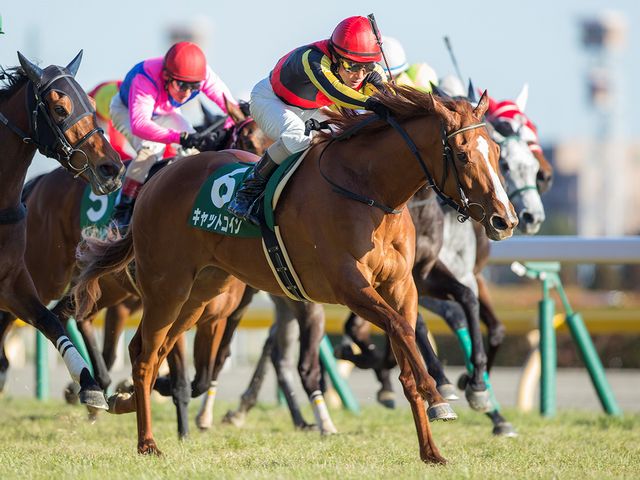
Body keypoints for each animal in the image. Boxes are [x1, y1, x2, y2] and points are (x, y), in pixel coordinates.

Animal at [0, 52, 123, 409]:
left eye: (91, 104)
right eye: (59, 108)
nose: (111, 168)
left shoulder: (13, 282)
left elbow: (50, 320)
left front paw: (90, 385)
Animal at [73, 86, 517, 462]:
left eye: (497, 152)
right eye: (462, 153)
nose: (505, 219)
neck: (369, 191)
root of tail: (154, 181)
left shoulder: (402, 286)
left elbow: (406, 341)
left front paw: (431, 449)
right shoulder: (348, 286)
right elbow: (402, 330)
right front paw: (437, 394)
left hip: (201, 294)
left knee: (153, 350)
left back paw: (124, 401)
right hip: (167, 287)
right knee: (146, 355)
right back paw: (146, 440)